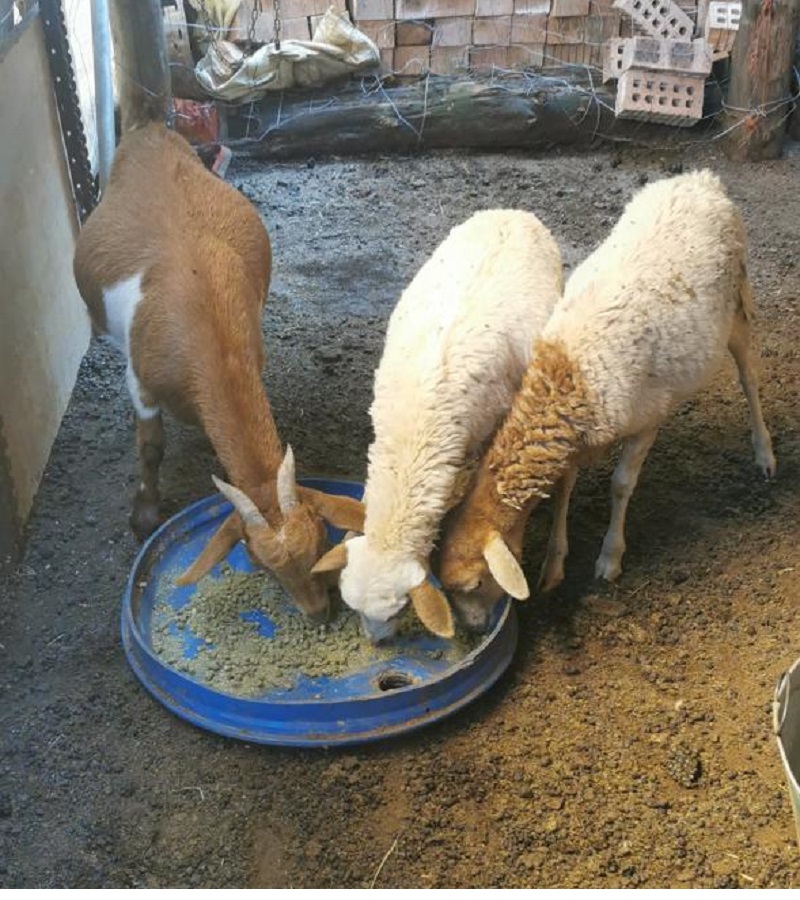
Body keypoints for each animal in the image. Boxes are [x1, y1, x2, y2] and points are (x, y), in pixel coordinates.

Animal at [73, 122, 364, 621]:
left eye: (319, 534)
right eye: (255, 558)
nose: (318, 614)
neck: (204, 322)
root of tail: (150, 129)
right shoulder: (142, 381)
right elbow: (150, 446)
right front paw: (144, 515)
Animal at [437, 170, 777, 632]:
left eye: (473, 584)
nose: (472, 630)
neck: (567, 378)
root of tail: (701, 180)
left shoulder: (647, 420)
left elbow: (620, 486)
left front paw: (609, 559)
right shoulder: (575, 442)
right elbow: (563, 489)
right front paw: (553, 566)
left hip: (737, 303)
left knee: (750, 377)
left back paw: (765, 454)